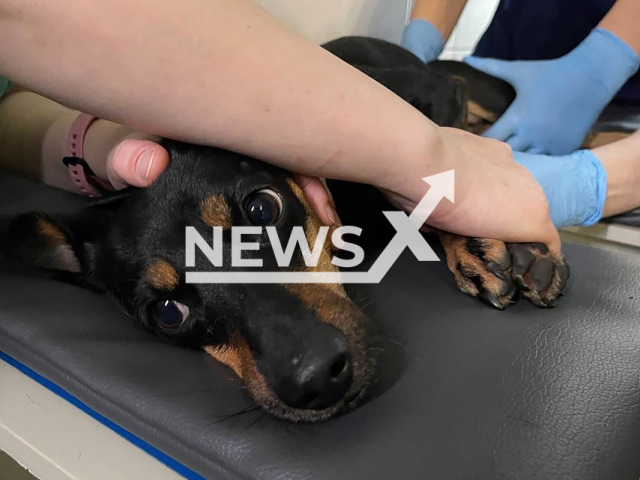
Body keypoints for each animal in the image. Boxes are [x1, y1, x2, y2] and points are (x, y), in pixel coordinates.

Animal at [1, 35, 568, 422]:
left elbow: (428, 168)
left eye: (261, 209)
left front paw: (479, 238)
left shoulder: (425, 103)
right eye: (166, 312)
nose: (315, 381)